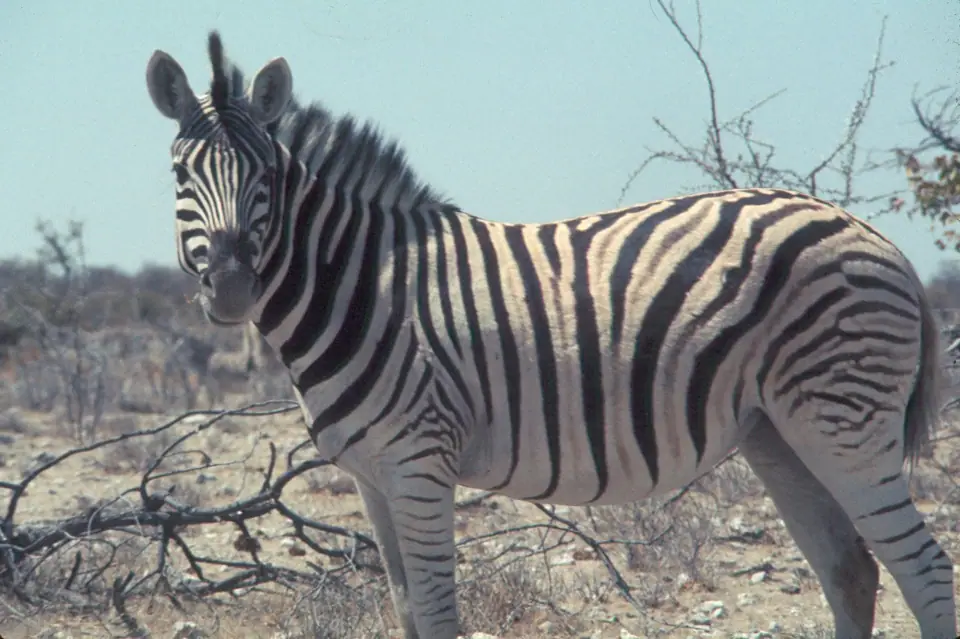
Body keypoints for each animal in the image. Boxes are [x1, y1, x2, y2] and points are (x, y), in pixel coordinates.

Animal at [145, 32, 957, 639]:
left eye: (266, 180)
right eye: (180, 175)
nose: (231, 287)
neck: (366, 285)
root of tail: (878, 237)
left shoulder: (419, 463)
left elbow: (436, 615)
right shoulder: (370, 477)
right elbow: (405, 611)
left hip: (843, 422)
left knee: (925, 568)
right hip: (778, 432)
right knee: (851, 568)